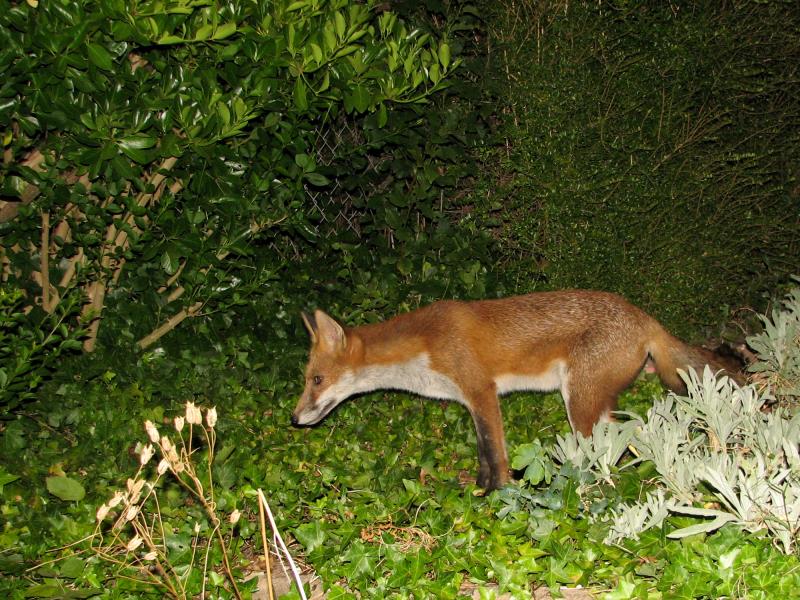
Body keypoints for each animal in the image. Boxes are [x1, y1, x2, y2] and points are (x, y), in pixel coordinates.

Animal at [291, 290, 744, 491]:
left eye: (317, 380)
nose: (294, 419)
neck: (424, 347)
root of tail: (645, 317)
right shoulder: (470, 401)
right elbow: (482, 452)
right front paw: (479, 487)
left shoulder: (482, 392)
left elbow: (497, 454)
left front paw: (497, 495)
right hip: (596, 403)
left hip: (579, 403)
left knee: (607, 449)